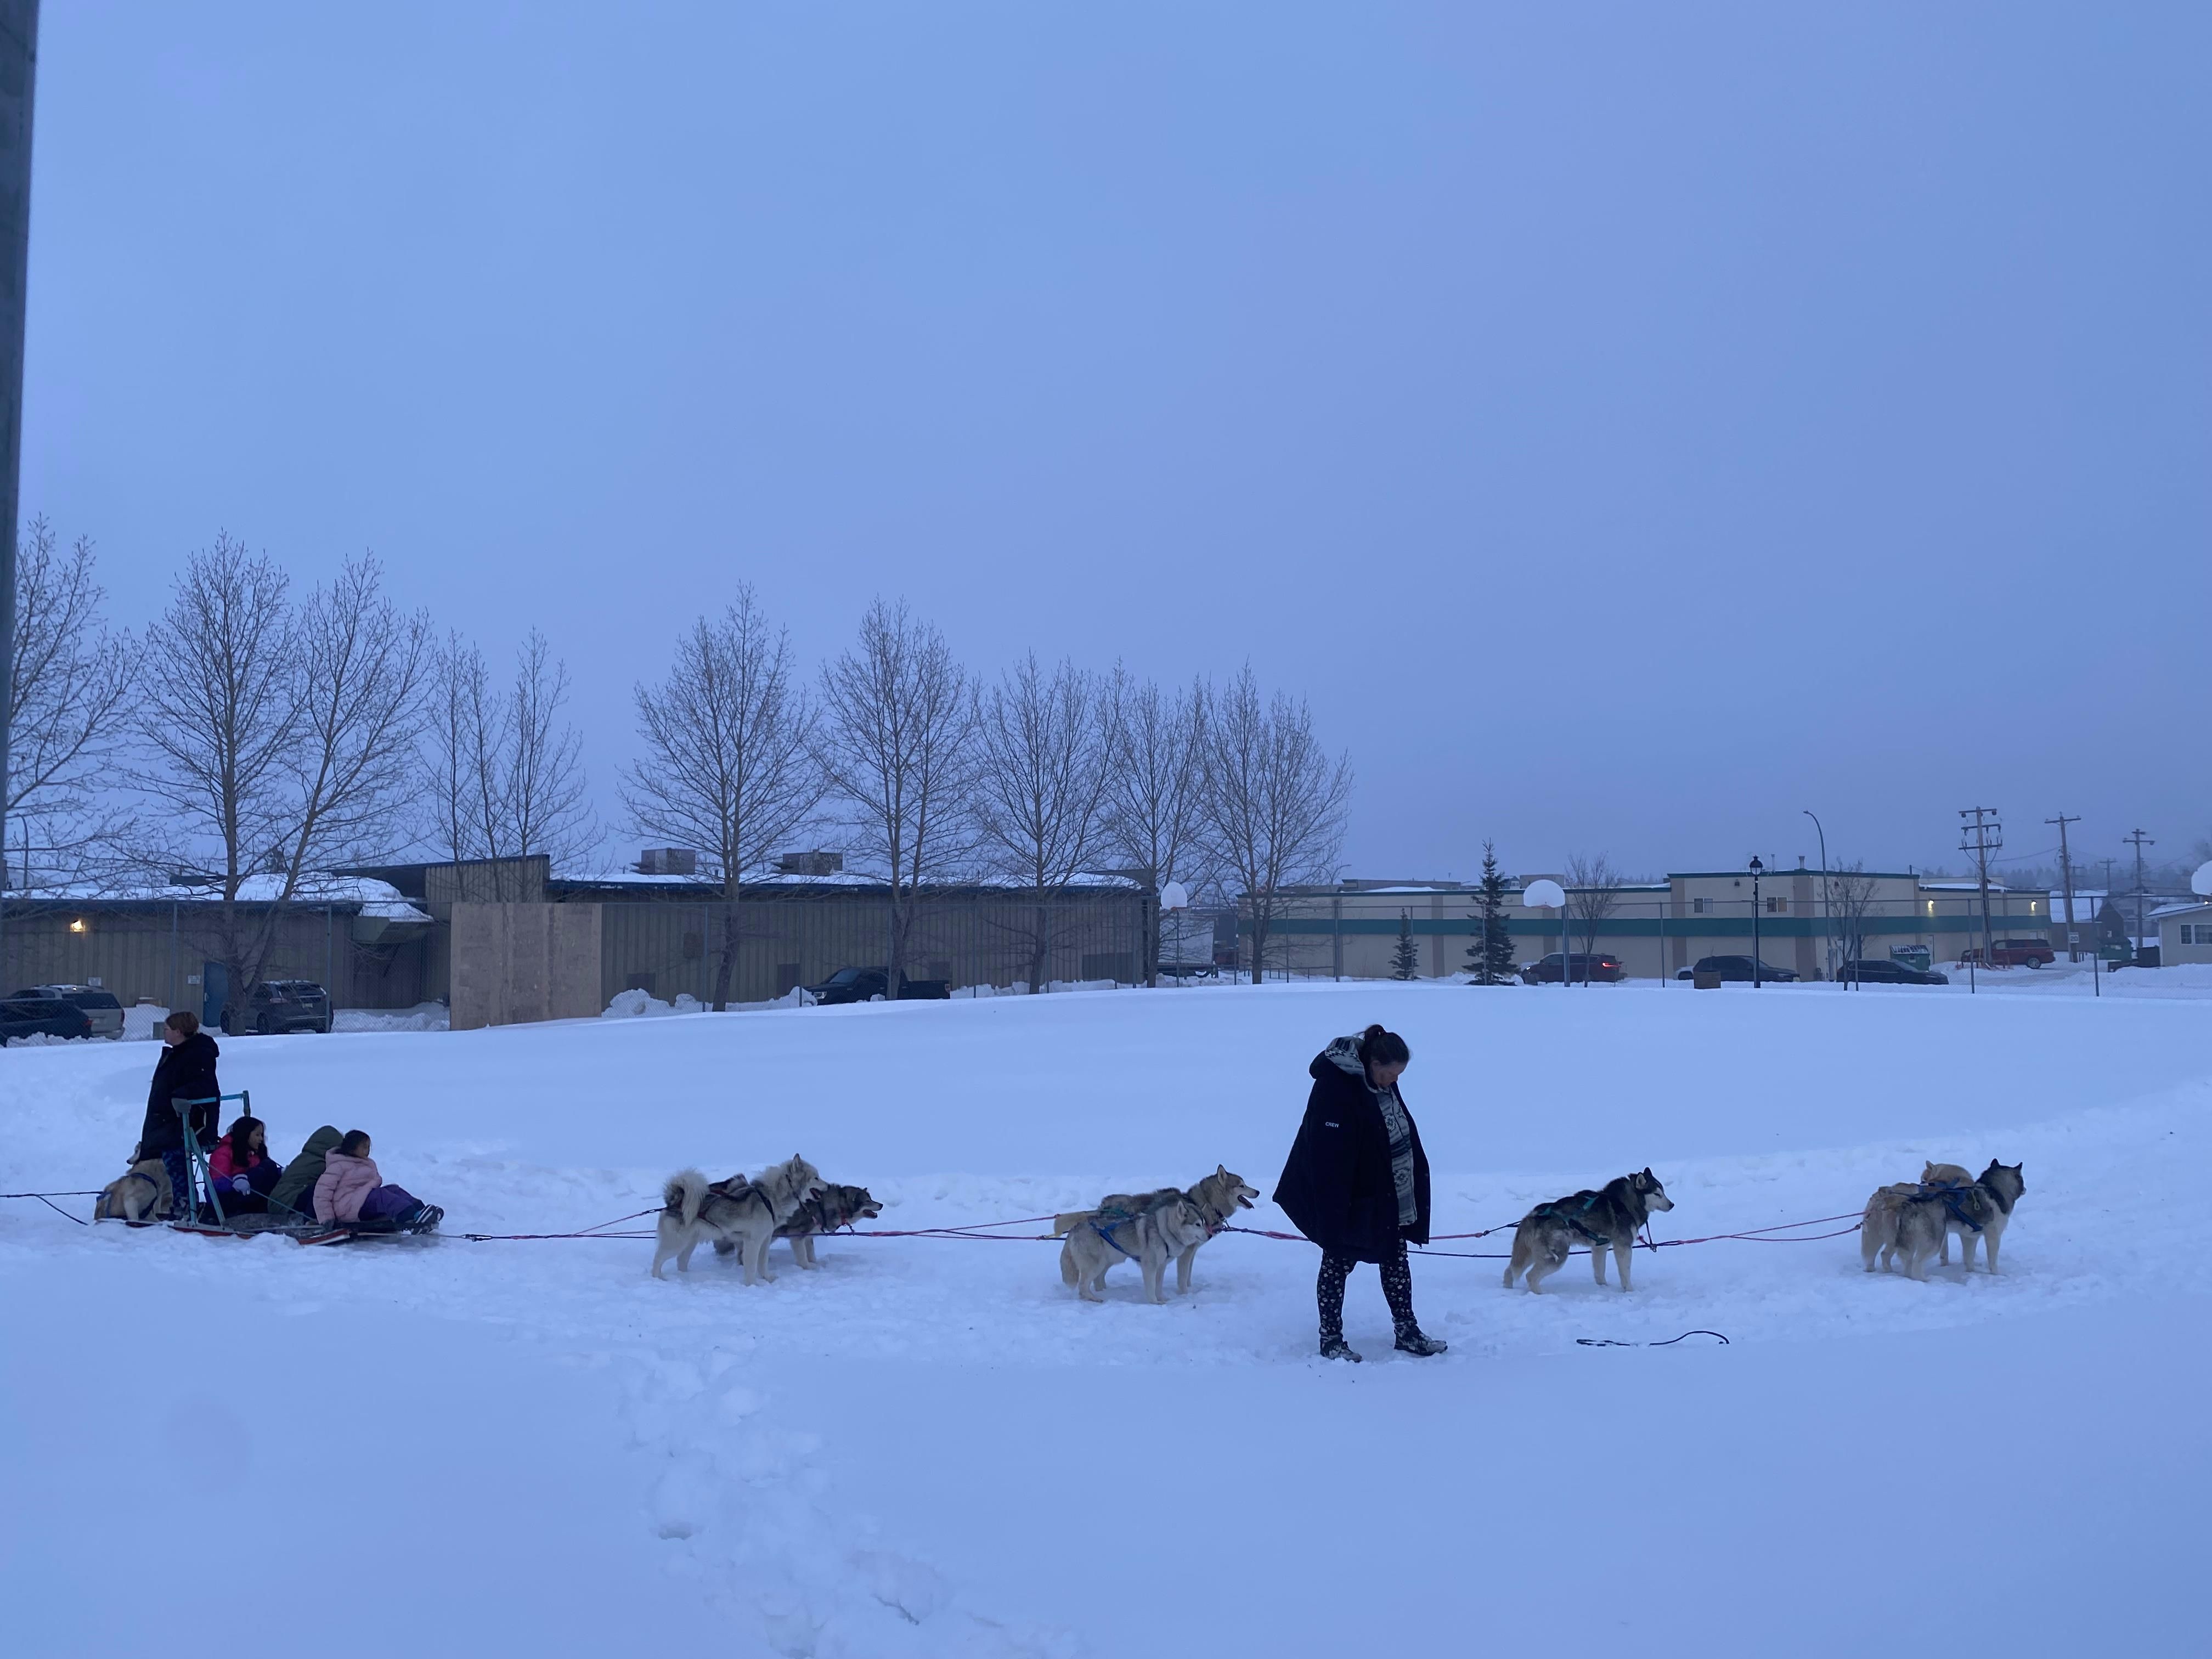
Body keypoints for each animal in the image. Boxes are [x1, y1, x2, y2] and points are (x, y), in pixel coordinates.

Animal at [651, 1155, 824, 1283]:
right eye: (816, 1178)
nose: (828, 1186)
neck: (769, 1199)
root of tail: (674, 1201)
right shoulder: (753, 1242)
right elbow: (751, 1267)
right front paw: (753, 1285)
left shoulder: (765, 1240)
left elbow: (763, 1264)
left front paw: (767, 1279)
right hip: (676, 1243)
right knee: (658, 1259)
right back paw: (658, 1279)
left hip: (689, 1243)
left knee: (681, 1261)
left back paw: (686, 1278)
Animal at [1055, 1191, 1213, 1304]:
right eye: (1197, 1224)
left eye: (1204, 1223)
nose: (1210, 1235)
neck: (1164, 1231)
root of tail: (1075, 1228)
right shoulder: (1150, 1266)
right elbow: (1151, 1287)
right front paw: (1154, 1302)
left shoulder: (1161, 1266)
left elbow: (1159, 1285)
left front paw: (1161, 1298)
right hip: (1096, 1265)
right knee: (1083, 1285)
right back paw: (1095, 1299)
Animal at [1502, 1168, 1674, 1294]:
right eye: (1657, 1194)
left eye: (1663, 1192)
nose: (1672, 1204)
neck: (1626, 1202)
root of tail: (1533, 1215)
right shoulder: (1623, 1247)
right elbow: (1625, 1273)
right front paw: (1630, 1291)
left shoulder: (1600, 1247)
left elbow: (1600, 1270)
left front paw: (1603, 1287)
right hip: (1558, 1256)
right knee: (1531, 1276)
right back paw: (1540, 1294)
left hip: (1530, 1254)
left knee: (1510, 1271)